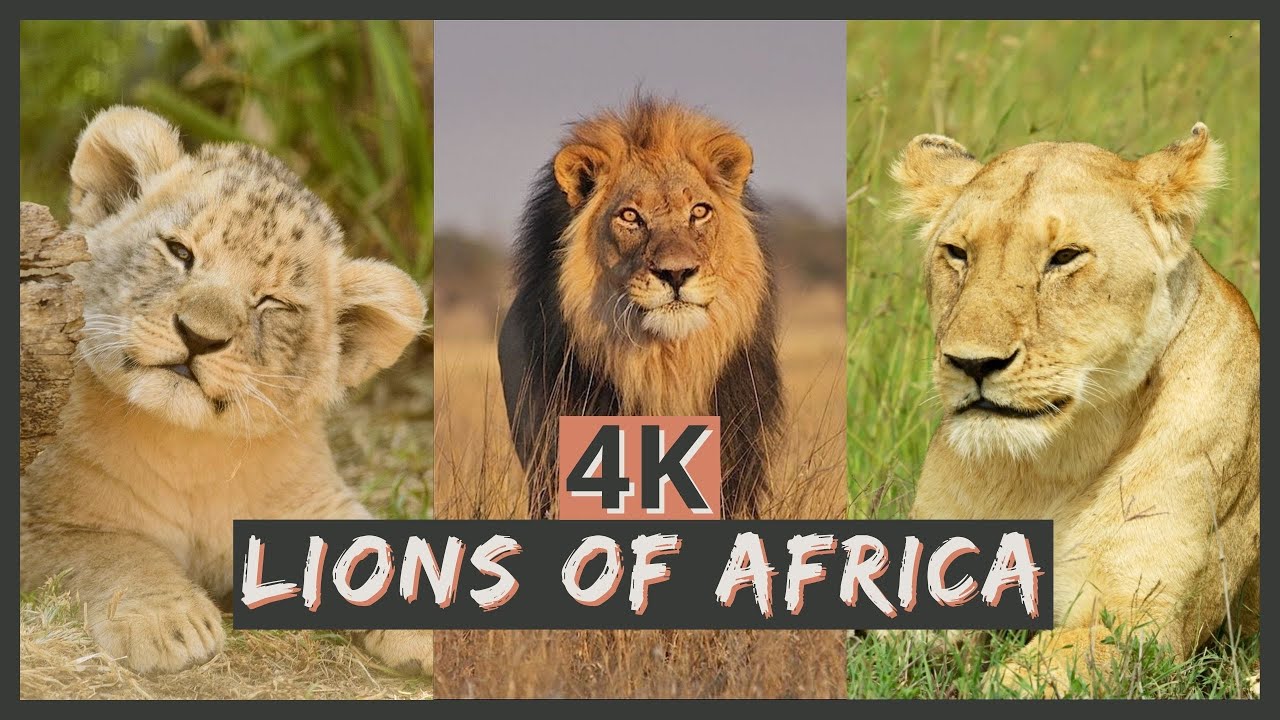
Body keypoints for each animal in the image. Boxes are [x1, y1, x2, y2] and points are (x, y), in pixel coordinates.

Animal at [19, 106, 434, 676]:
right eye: (179, 252)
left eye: (273, 302)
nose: (199, 336)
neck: (190, 450)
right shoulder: (36, 520)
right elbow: (113, 550)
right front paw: (167, 623)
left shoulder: (314, 499)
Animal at [892, 123, 1260, 695]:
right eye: (956, 252)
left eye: (1065, 257)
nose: (973, 362)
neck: (1047, 469)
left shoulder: (1141, 621)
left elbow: (1018, 680)